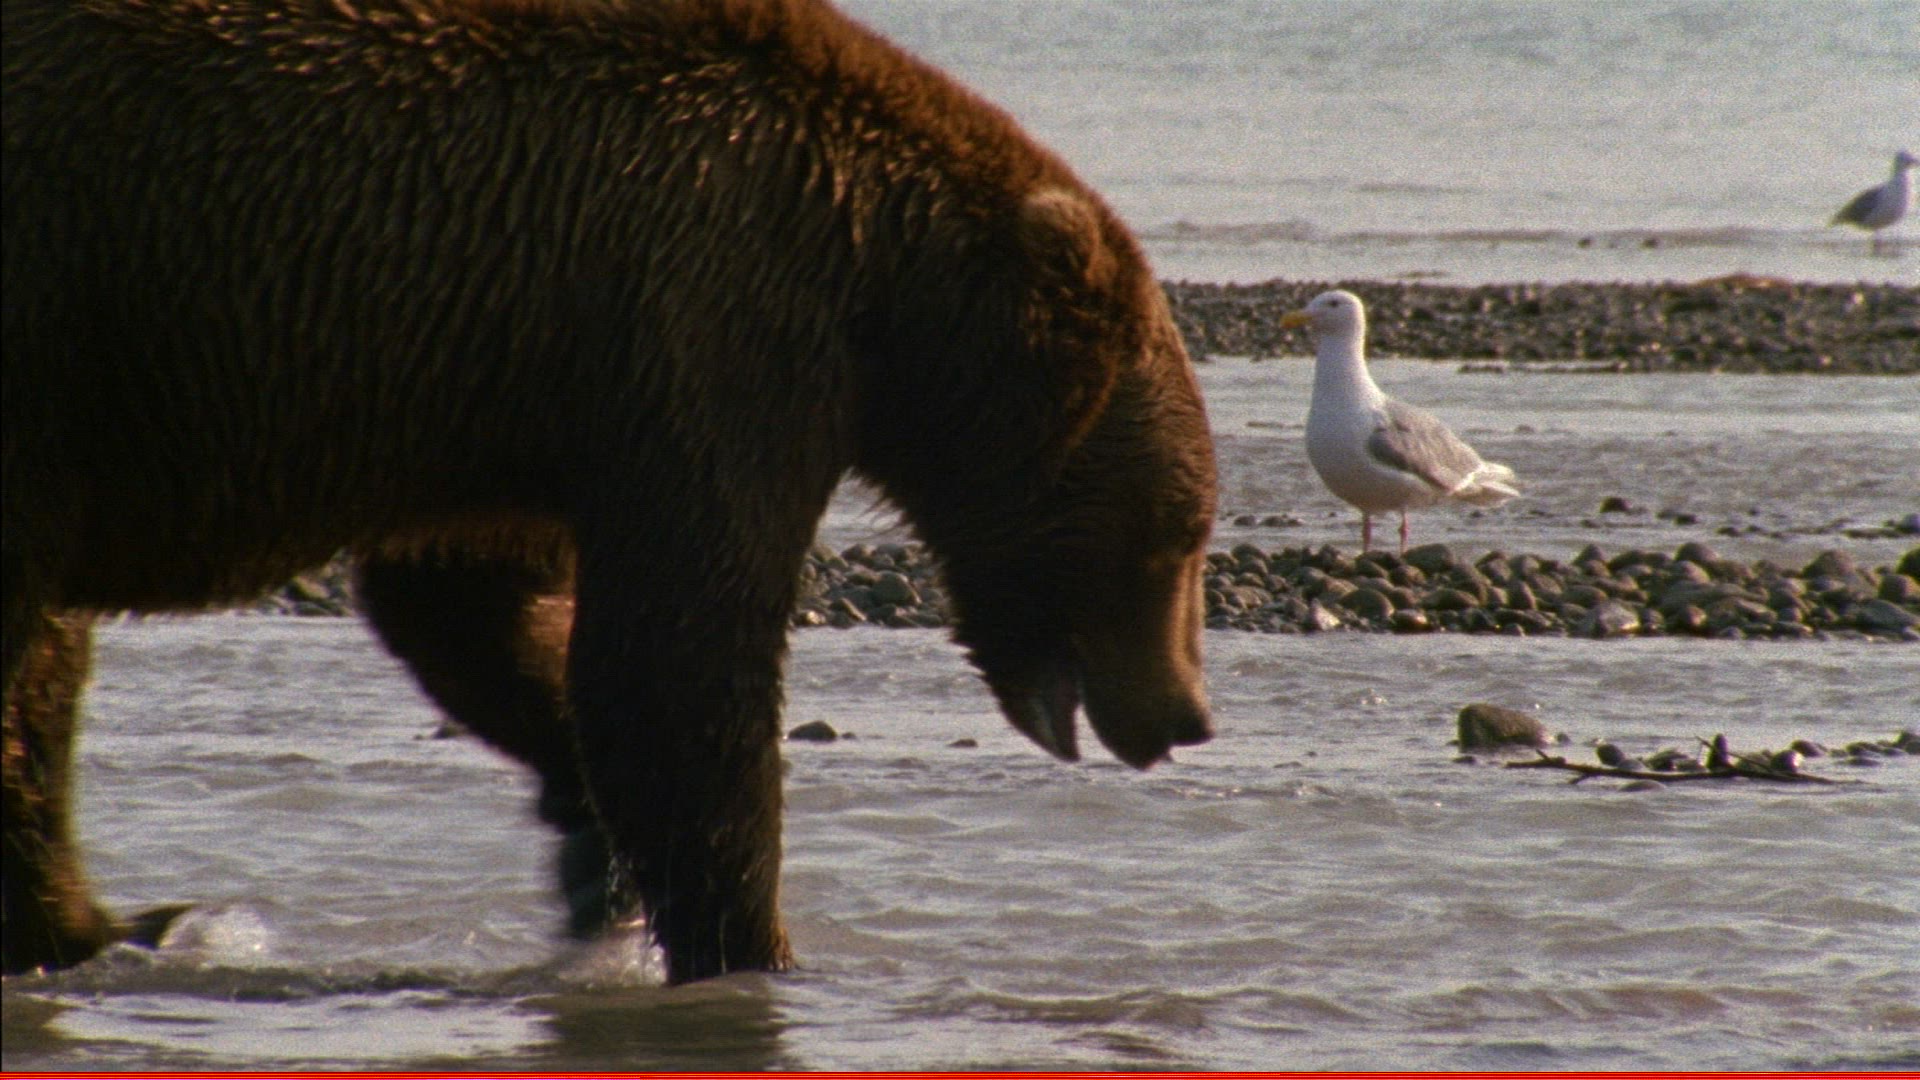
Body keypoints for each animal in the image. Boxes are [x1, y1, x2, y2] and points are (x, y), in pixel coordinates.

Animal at [2, 0, 1217, 984]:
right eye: (1175, 538)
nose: (1187, 715)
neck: (885, 295)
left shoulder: (531, 391)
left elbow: (486, 616)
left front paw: (601, 868)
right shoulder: (717, 323)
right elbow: (682, 658)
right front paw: (754, 945)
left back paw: (100, 923)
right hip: (60, 310)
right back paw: (110, 922)